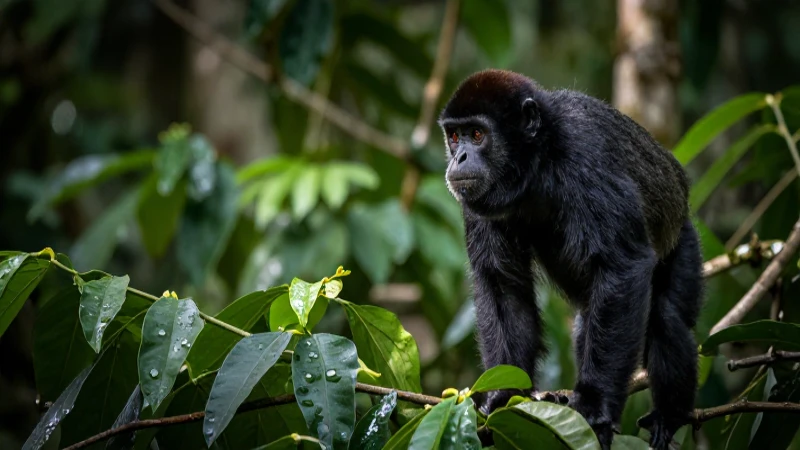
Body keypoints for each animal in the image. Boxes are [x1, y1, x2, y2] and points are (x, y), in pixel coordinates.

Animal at [438, 69, 703, 450]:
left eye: (477, 134)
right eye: (455, 136)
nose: (457, 158)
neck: (539, 164)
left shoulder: (585, 156)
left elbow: (622, 266)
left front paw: (594, 404)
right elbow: (503, 284)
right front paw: (502, 395)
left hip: (685, 240)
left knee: (665, 316)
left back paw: (670, 415)